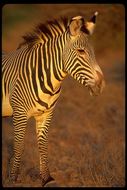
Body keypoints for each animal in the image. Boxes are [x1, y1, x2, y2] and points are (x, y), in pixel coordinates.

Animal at [2, 11, 105, 186]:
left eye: (93, 52)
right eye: (81, 51)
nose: (101, 85)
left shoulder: (46, 114)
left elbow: (43, 145)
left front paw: (47, 179)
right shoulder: (20, 114)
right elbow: (18, 146)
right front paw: (13, 179)